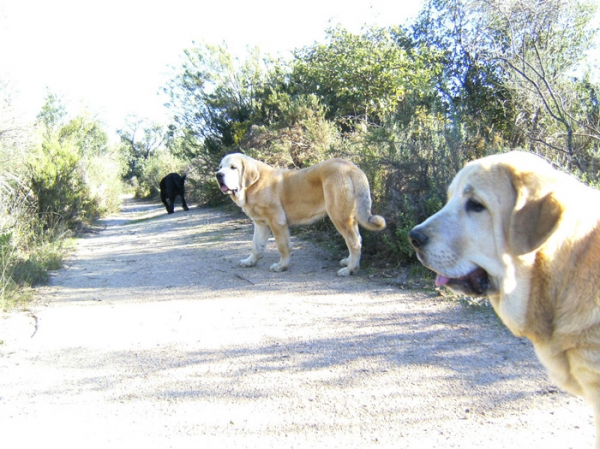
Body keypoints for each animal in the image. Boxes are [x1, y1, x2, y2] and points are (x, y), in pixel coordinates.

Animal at [216, 152, 384, 274]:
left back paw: (350, 269)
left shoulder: (277, 222)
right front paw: (250, 262)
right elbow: (256, 246)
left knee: (354, 242)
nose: (218, 174)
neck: (252, 185)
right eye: (220, 166)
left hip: (339, 216)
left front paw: (281, 266)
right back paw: (348, 262)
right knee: (356, 239)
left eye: (233, 167)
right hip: (348, 216)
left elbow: (283, 246)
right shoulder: (260, 224)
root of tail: (351, 167)